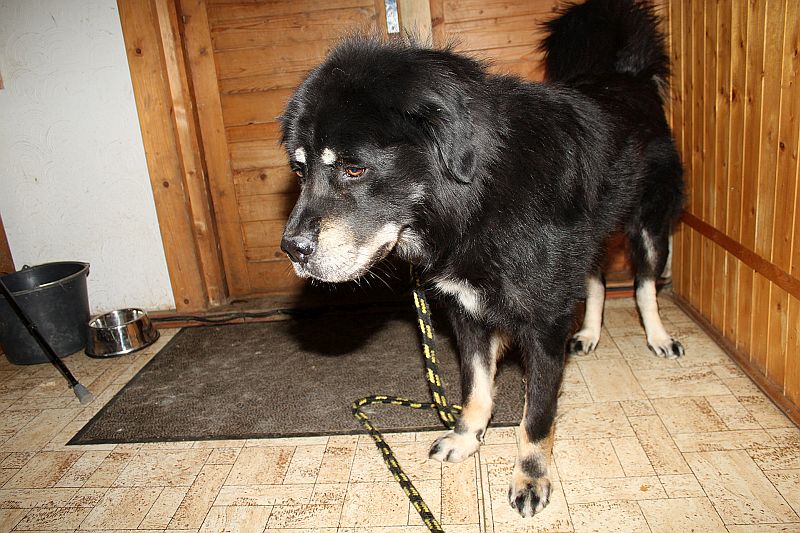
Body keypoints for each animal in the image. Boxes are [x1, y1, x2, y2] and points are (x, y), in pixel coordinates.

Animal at [279, 0, 684, 517]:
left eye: (354, 169)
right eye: (300, 170)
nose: (292, 249)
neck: (479, 200)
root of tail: (628, 76)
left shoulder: (544, 325)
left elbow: (537, 418)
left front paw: (530, 478)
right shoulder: (466, 312)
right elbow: (476, 387)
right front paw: (466, 439)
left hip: (650, 226)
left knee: (645, 283)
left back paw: (658, 336)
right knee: (594, 279)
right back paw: (591, 334)